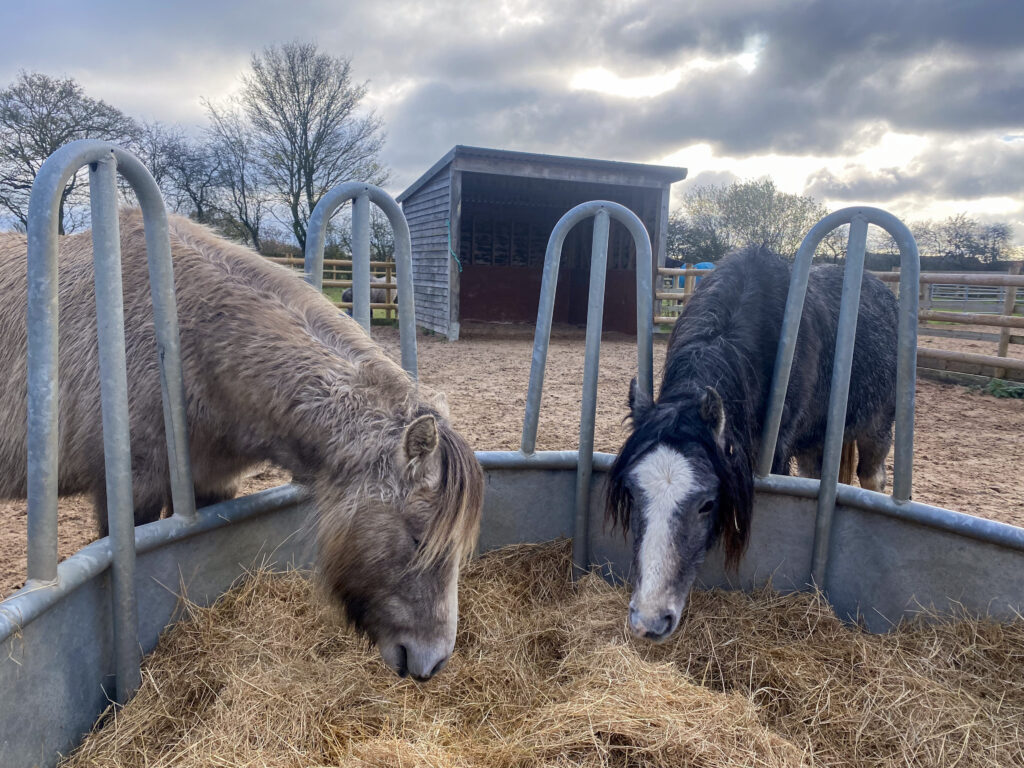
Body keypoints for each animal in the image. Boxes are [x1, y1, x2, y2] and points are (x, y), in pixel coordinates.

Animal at [607, 245, 897, 642]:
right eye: (633, 495)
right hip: (814, 446)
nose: (648, 622)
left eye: (708, 503)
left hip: (875, 430)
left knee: (873, 478)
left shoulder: (774, 454)